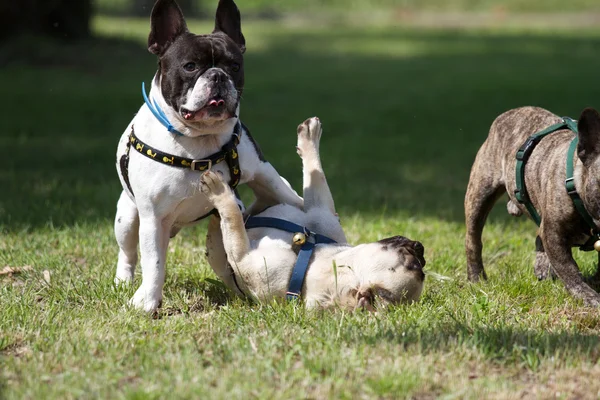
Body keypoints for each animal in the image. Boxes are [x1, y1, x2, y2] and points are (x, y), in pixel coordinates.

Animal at [203, 117, 426, 310]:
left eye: (415, 265)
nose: (420, 248)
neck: (306, 257)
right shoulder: (324, 214)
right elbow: (317, 176)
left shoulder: (243, 257)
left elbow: (233, 219)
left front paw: (219, 191)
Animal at [466, 106, 600, 306]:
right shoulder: (553, 233)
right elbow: (569, 268)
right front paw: (587, 296)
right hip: (480, 193)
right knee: (473, 240)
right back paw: (476, 279)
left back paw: (542, 267)